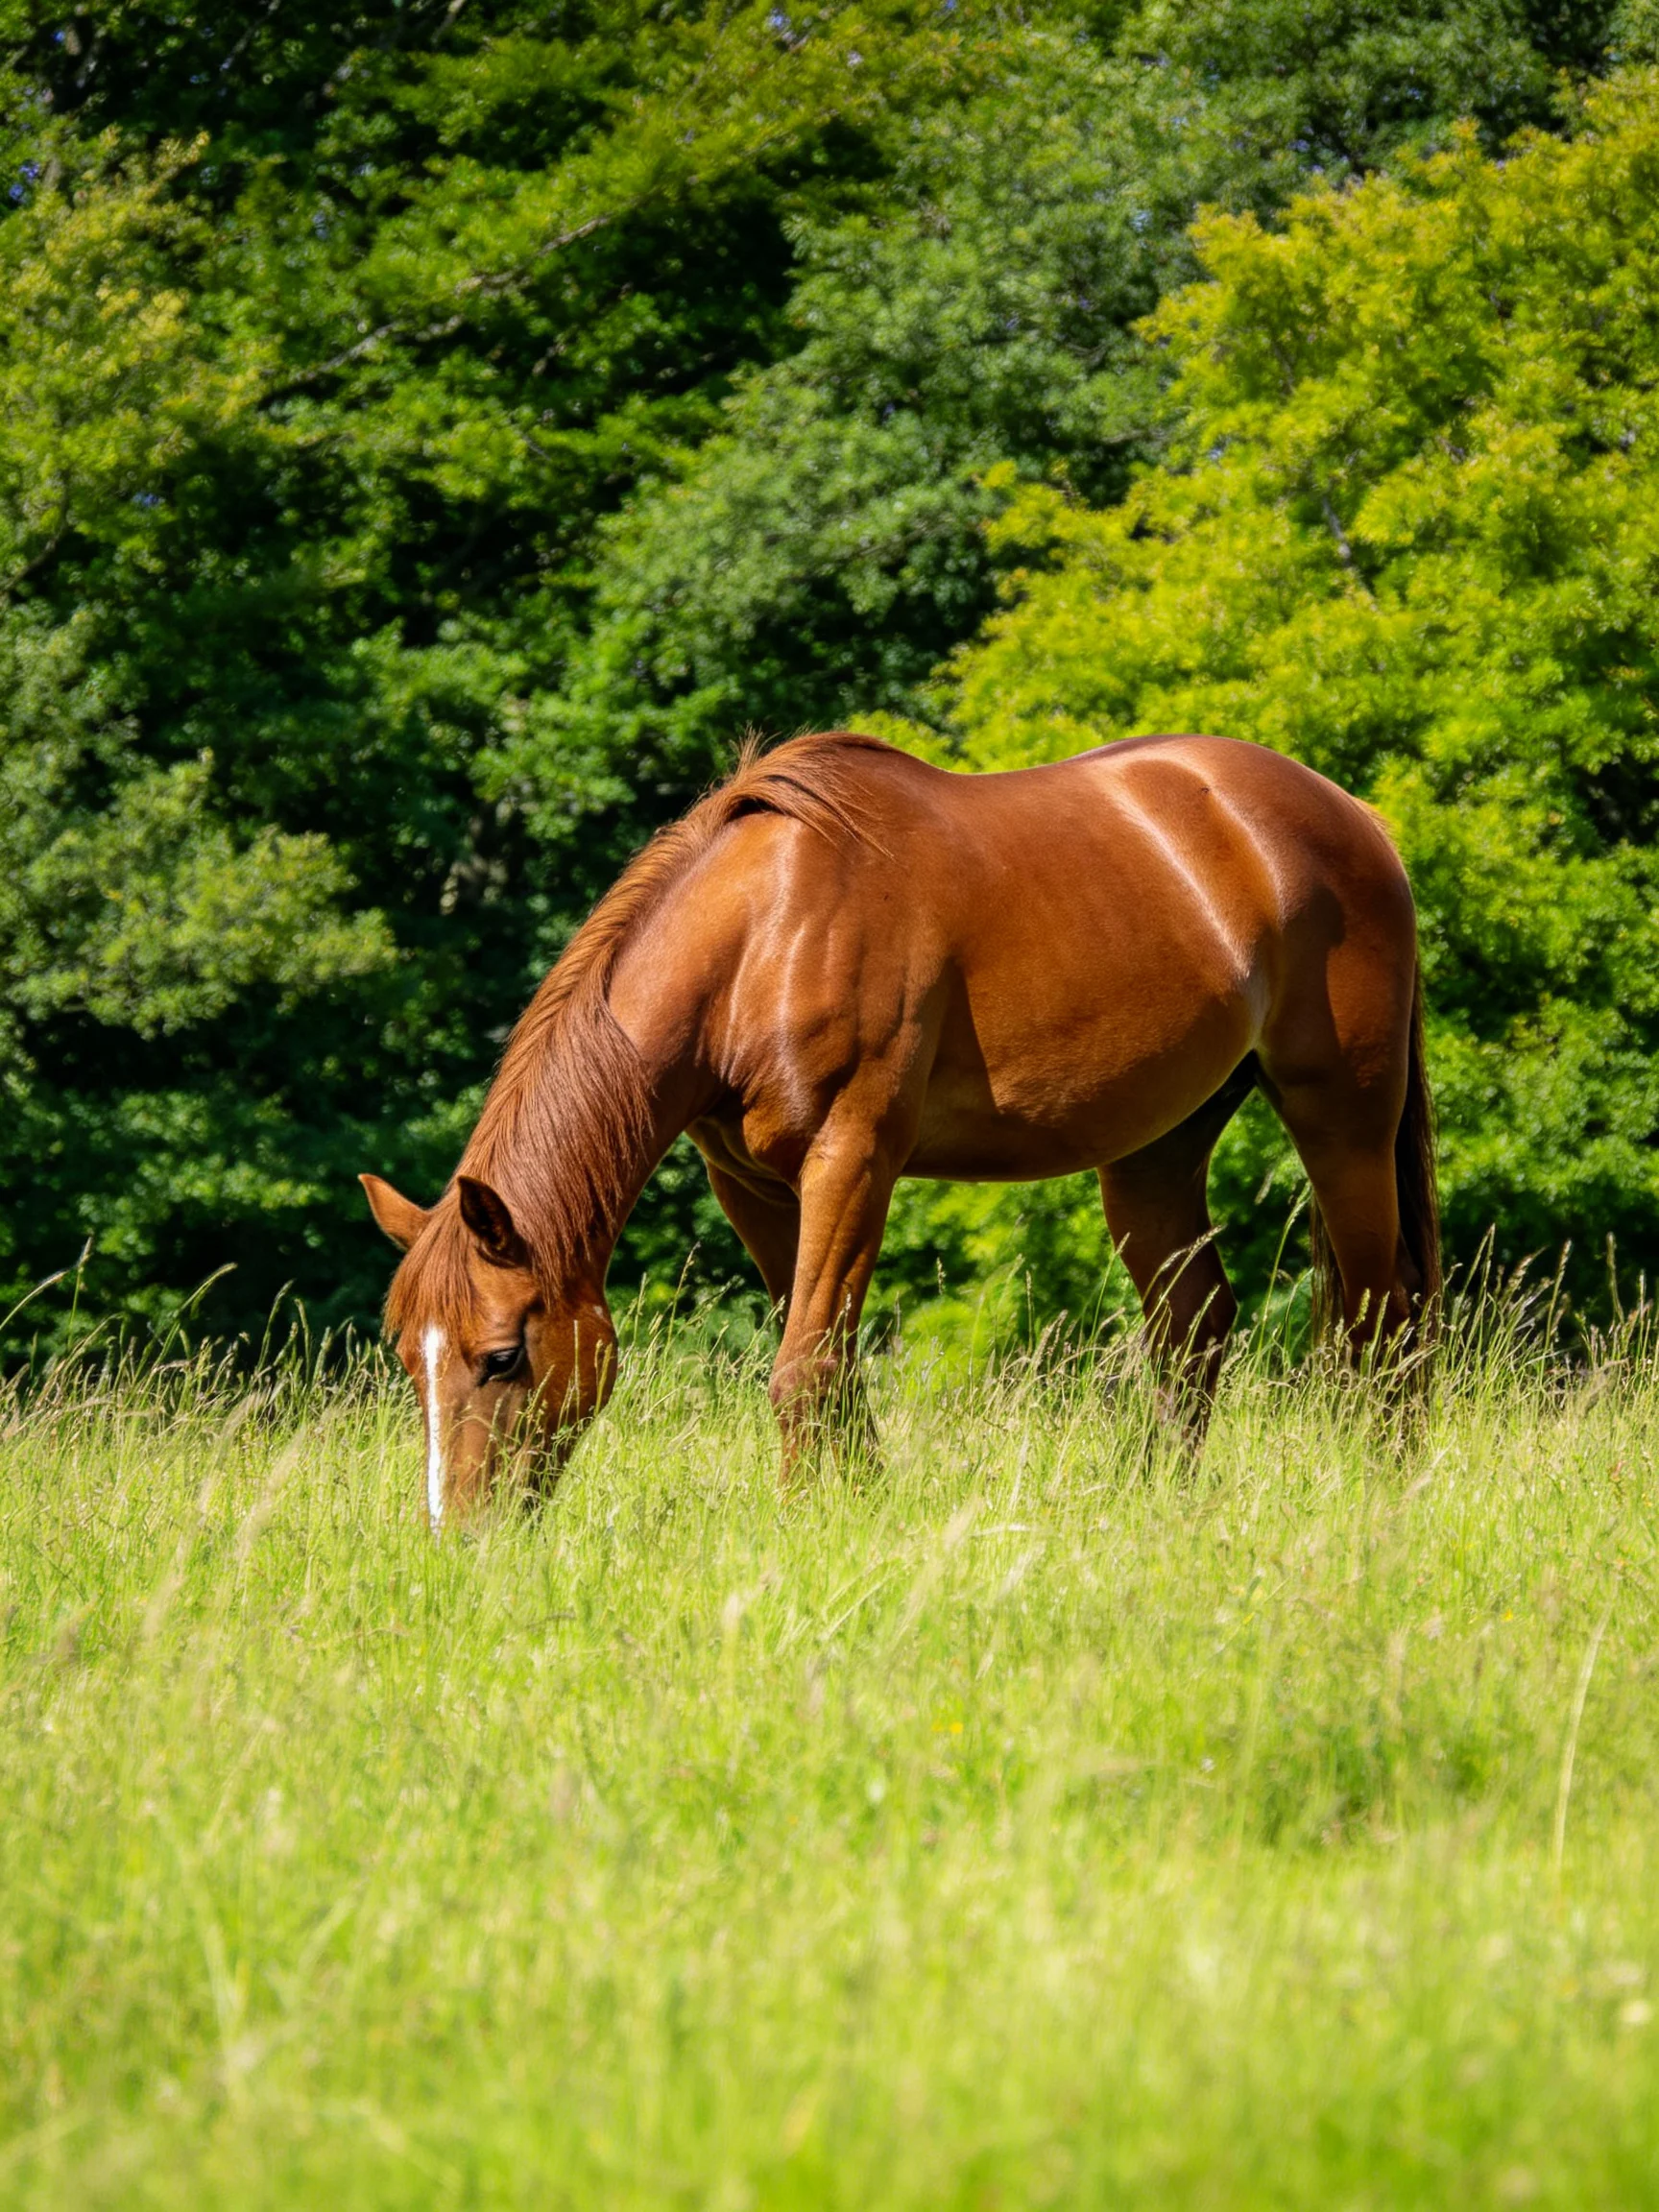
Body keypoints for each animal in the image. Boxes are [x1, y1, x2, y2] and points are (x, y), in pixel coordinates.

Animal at [362, 731, 1438, 1526]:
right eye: (407, 1357)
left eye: (503, 1356)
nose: (458, 1537)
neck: (761, 938)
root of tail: (1353, 818)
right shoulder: (753, 1189)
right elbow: (828, 1365)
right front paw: (861, 1513)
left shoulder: (852, 1160)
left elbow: (804, 1368)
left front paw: (801, 1529)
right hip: (1156, 1151)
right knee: (1195, 1329)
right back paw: (1159, 1503)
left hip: (1342, 1118)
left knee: (1379, 1318)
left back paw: (1381, 1491)